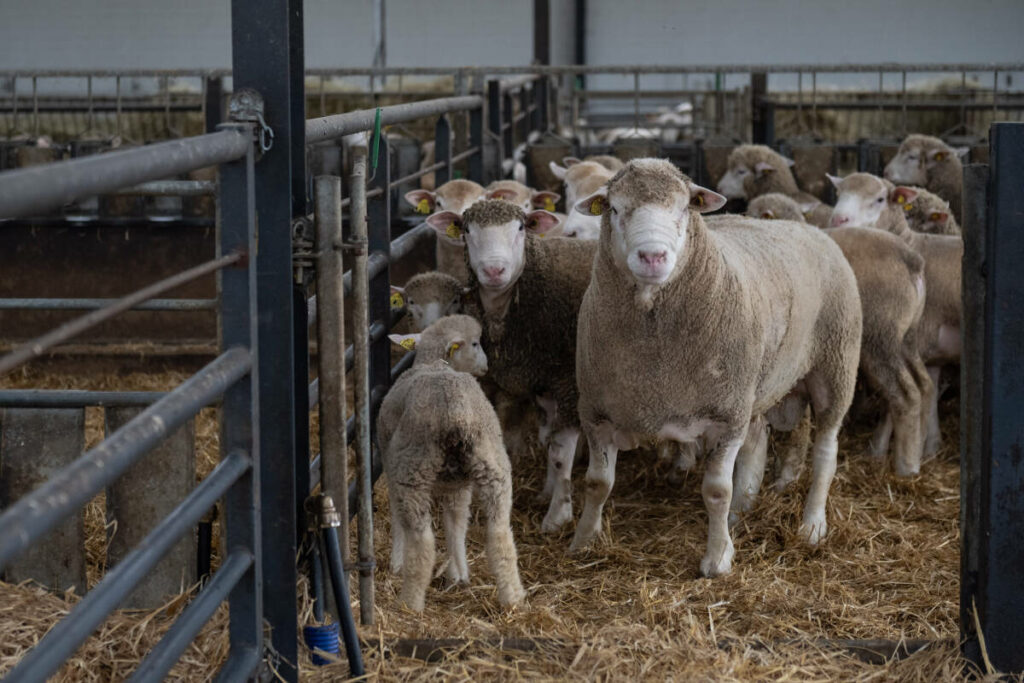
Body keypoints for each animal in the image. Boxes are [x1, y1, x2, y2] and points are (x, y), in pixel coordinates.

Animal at [458, 197, 598, 532]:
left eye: (521, 228)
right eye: (466, 230)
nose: (494, 269)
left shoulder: (570, 380)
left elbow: (560, 449)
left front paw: (557, 515)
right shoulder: (542, 381)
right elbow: (547, 439)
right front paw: (547, 491)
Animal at [573, 158, 860, 577]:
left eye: (683, 208)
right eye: (613, 208)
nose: (652, 257)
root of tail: (809, 227)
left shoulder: (726, 416)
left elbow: (715, 491)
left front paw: (717, 558)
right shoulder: (596, 411)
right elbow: (596, 482)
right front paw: (584, 539)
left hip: (835, 365)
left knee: (826, 450)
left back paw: (811, 524)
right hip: (753, 384)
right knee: (758, 438)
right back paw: (743, 509)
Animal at [827, 171, 962, 458]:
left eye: (880, 199)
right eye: (839, 193)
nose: (838, 219)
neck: (914, 243)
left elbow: (896, 402)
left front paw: (878, 450)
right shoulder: (926, 347)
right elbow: (930, 390)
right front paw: (930, 446)